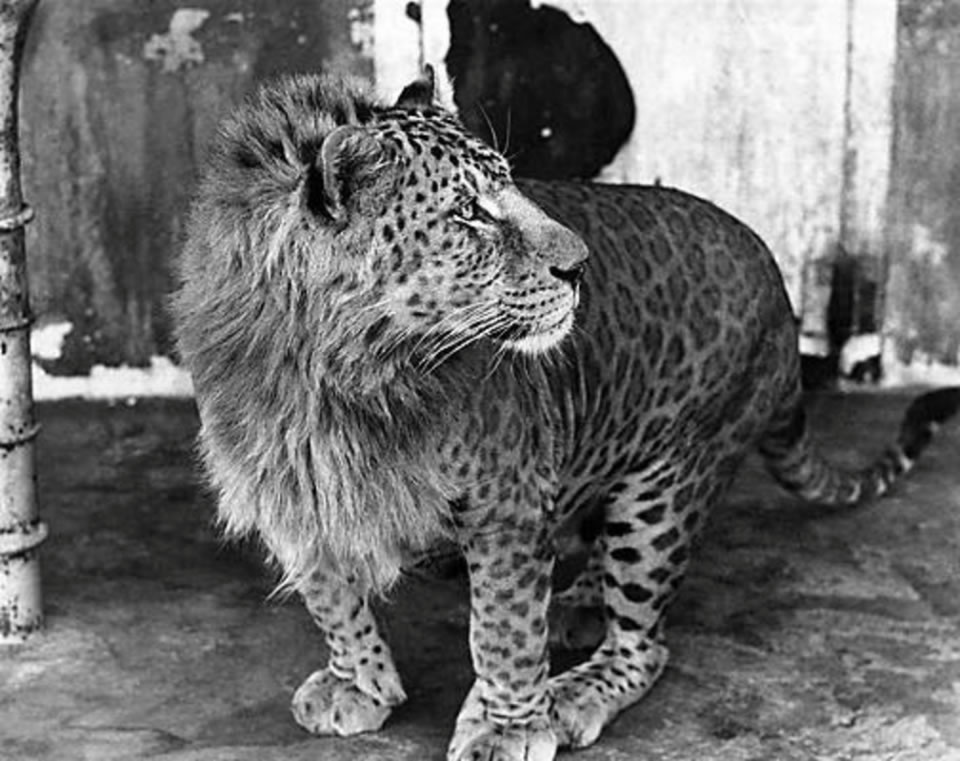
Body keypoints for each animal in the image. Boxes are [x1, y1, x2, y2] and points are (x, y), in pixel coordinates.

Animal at [172, 66, 960, 761]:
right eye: (469, 212)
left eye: (510, 187)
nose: (579, 266)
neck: (340, 379)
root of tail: (780, 288)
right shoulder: (292, 488)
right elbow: (331, 597)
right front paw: (358, 684)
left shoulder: (508, 503)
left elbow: (504, 629)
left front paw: (509, 727)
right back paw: (579, 603)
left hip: (668, 486)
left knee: (645, 643)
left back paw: (574, 688)